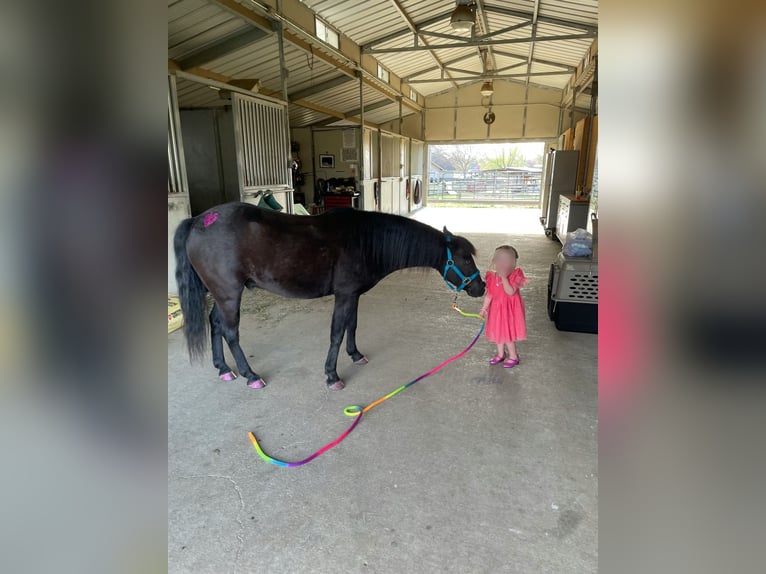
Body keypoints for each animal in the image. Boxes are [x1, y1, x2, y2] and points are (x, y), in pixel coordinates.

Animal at [173, 202, 485, 390]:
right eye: (465, 258)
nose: (480, 288)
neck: (365, 240)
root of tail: (198, 220)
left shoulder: (353, 295)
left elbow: (352, 325)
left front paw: (356, 354)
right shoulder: (344, 295)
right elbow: (336, 332)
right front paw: (332, 375)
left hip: (222, 294)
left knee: (215, 324)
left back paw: (223, 369)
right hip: (229, 295)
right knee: (230, 332)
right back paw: (251, 376)